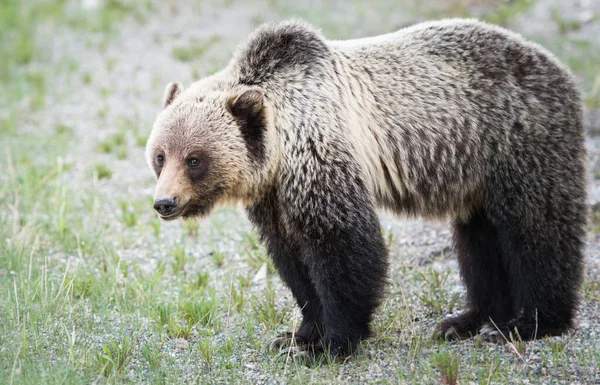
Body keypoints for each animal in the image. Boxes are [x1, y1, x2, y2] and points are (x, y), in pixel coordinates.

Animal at [145, 19, 584, 358]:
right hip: (474, 173)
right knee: (478, 242)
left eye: (194, 159)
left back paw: (529, 322)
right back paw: (467, 319)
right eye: (160, 155)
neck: (280, 151)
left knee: (536, 228)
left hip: (519, 140)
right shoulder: (274, 197)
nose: (164, 202)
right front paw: (299, 334)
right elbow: (292, 260)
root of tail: (557, 66)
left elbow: (343, 246)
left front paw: (330, 344)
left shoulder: (320, 155)